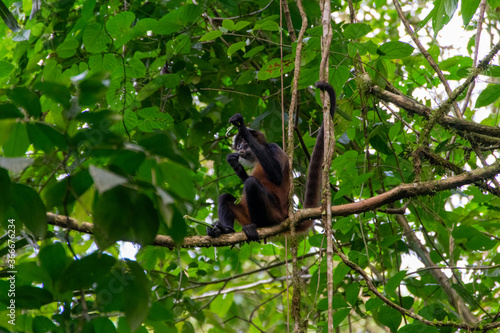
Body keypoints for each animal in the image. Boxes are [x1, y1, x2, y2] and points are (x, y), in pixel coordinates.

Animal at [207, 81, 336, 240]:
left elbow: (276, 176)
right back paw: (225, 230)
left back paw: (259, 225)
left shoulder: (274, 148)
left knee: (251, 184)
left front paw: (242, 127)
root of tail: (285, 216)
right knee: (225, 197)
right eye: (238, 145)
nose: (240, 148)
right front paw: (234, 163)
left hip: (273, 213)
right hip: (245, 214)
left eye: (244, 142)